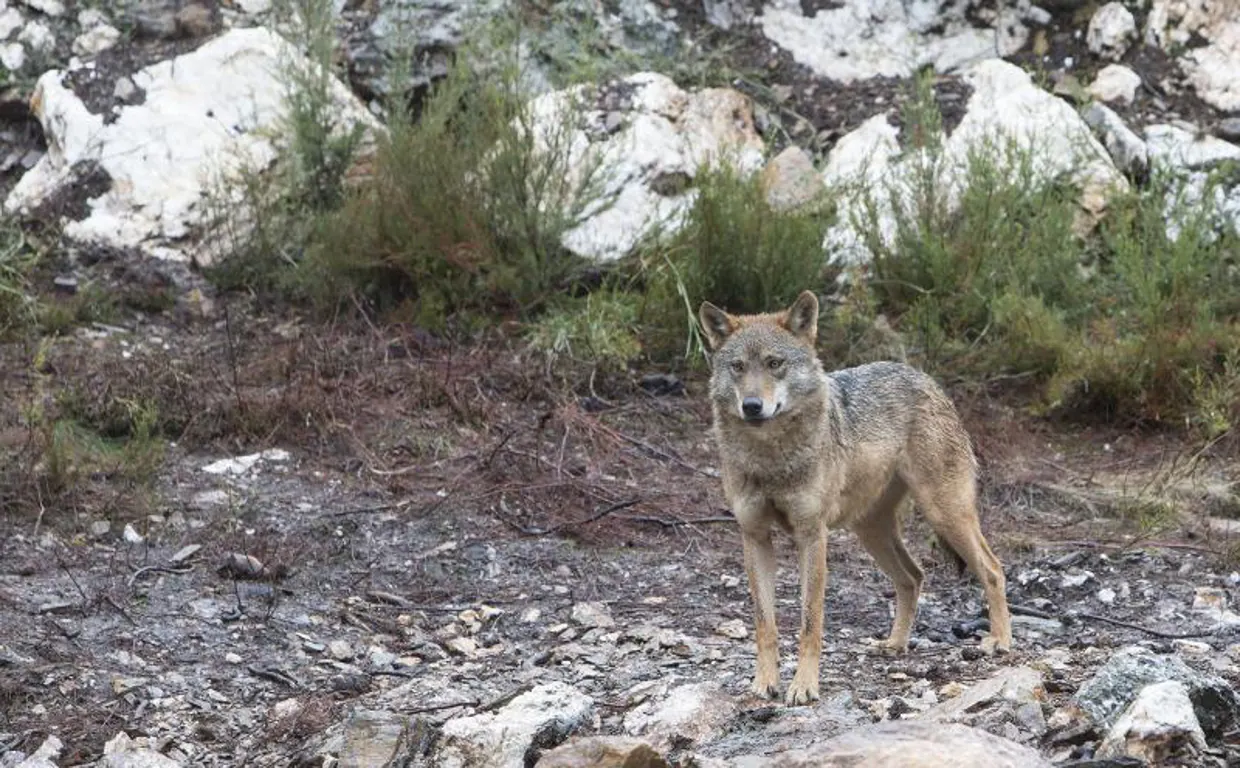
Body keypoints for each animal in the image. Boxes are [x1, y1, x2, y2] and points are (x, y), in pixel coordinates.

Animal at [699, 291, 1006, 704]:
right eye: (737, 367)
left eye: (774, 364)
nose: (751, 406)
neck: (770, 458)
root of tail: (926, 378)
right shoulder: (755, 536)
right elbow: (765, 624)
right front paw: (765, 682)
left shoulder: (812, 535)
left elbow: (810, 621)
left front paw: (804, 686)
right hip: (871, 531)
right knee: (914, 576)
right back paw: (895, 643)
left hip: (945, 514)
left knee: (993, 569)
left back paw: (1000, 640)